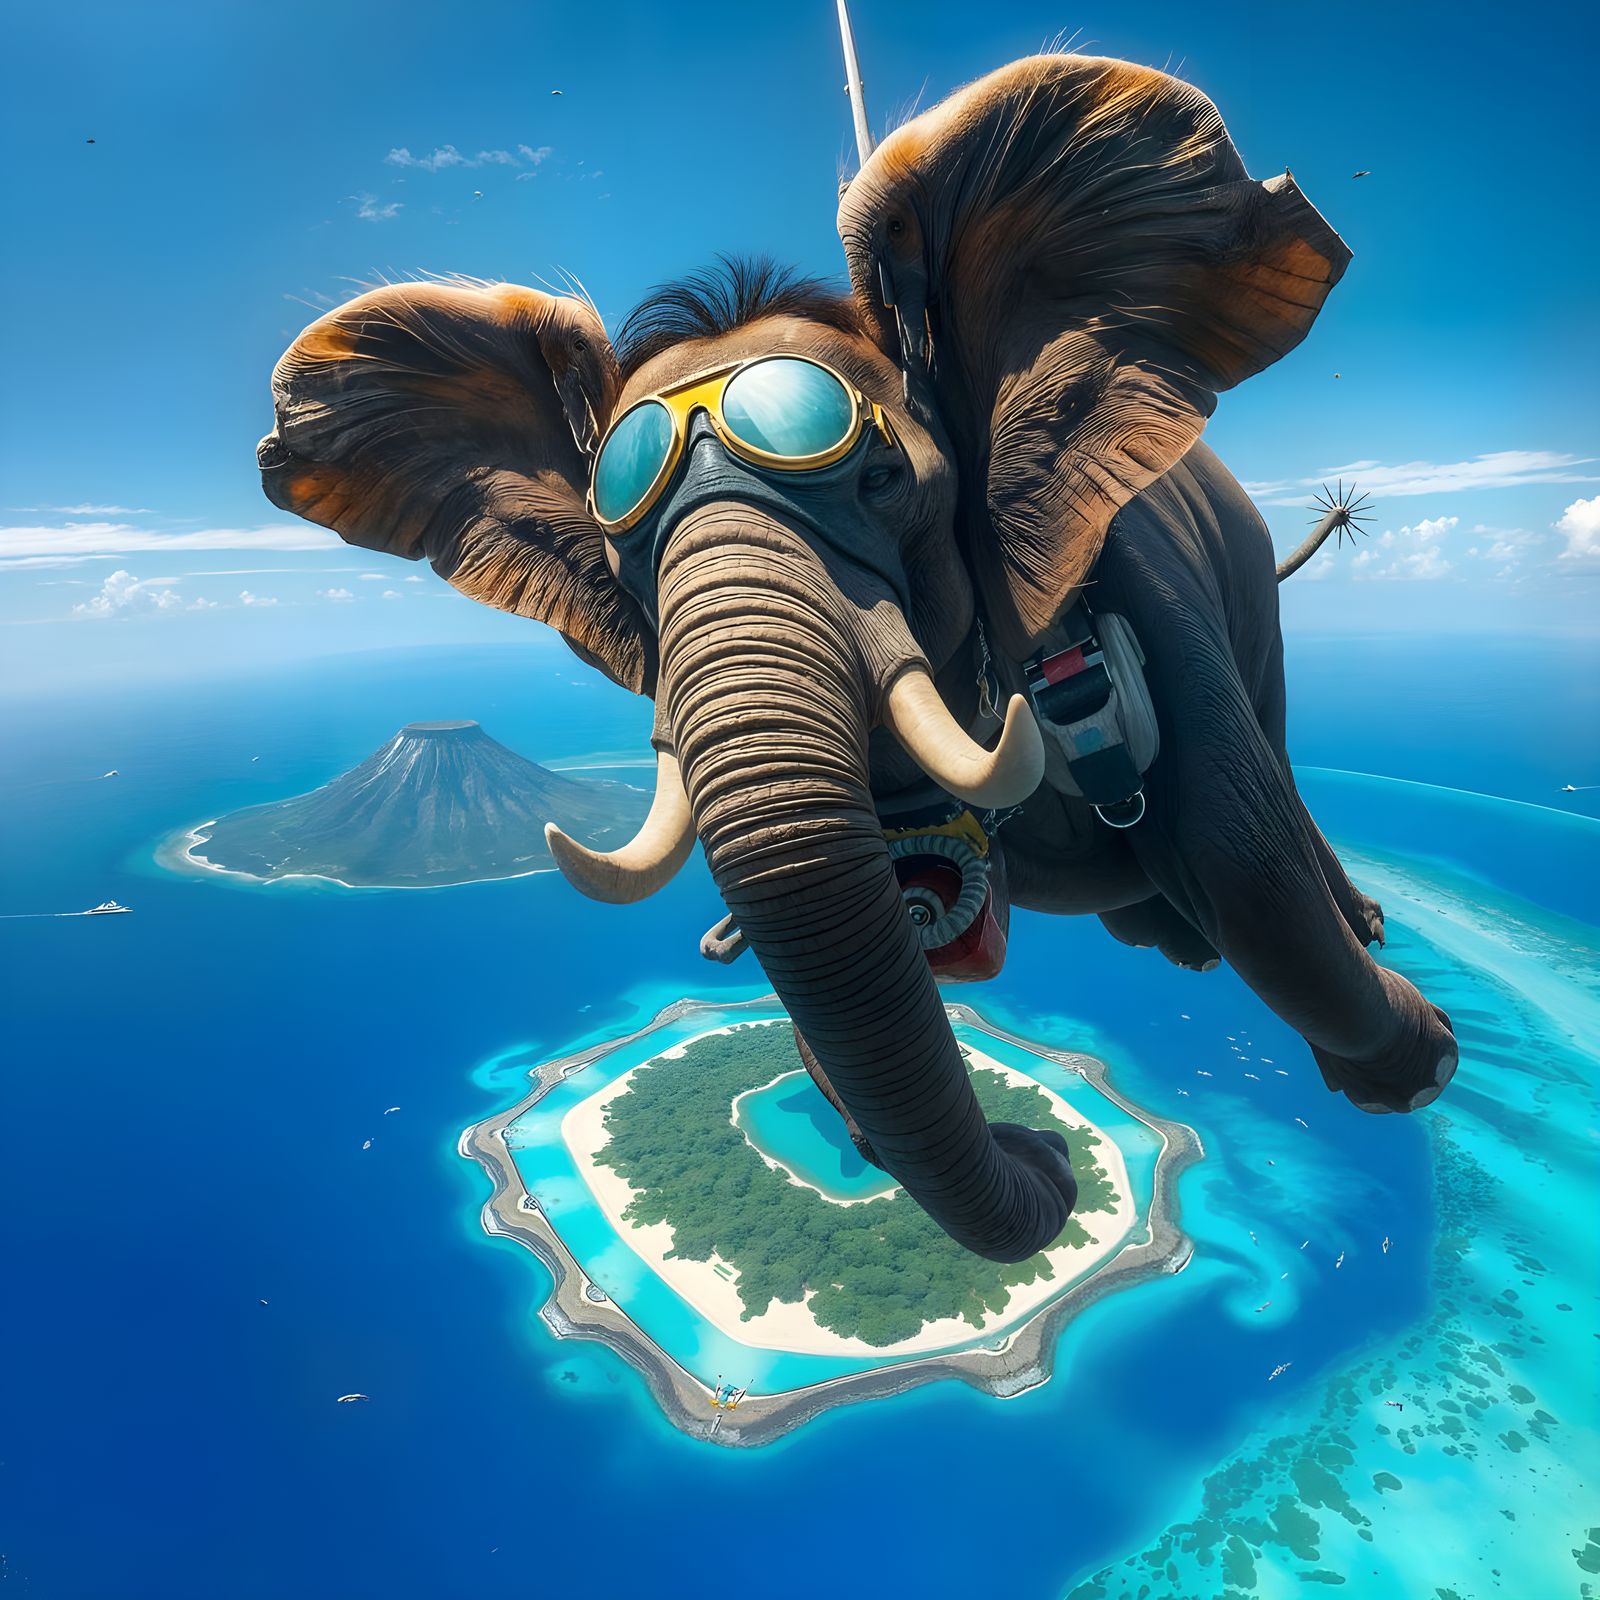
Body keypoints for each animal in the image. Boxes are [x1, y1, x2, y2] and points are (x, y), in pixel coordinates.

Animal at [258, 53, 1457, 1264]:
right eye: (620, 546)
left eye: (888, 484)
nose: (1050, 1149)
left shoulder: (1144, 580)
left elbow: (1245, 862)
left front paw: (1417, 1058)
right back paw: (1170, 940)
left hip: (1245, 582)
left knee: (1271, 785)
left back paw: (1338, 927)